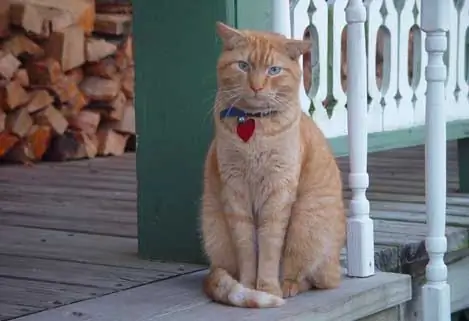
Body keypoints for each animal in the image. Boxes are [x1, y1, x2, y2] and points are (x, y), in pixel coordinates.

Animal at [199, 22, 346, 308]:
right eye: (243, 65)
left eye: (274, 70)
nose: (256, 86)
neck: (253, 124)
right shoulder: (235, 191)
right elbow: (246, 247)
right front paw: (249, 285)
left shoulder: (278, 192)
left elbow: (269, 247)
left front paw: (267, 287)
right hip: (215, 228)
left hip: (305, 222)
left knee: (312, 279)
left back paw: (287, 286)